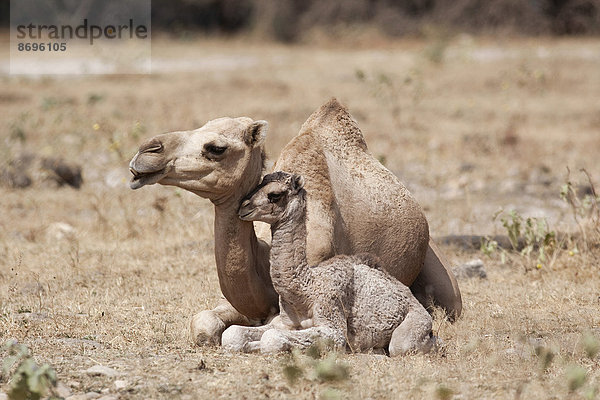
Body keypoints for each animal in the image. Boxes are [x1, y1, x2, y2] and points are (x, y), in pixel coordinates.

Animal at [223, 170, 434, 354]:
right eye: (258, 184)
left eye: (275, 195)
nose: (243, 206)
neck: (304, 290)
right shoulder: (284, 322)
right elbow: (233, 334)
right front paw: (249, 345)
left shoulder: (332, 320)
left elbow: (271, 338)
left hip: (414, 326)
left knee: (402, 346)